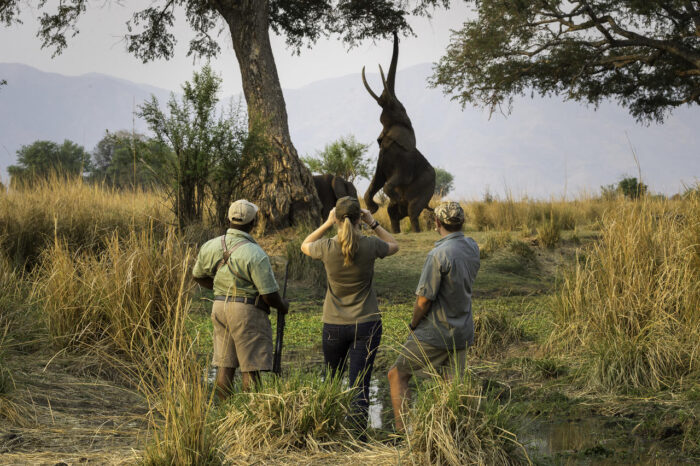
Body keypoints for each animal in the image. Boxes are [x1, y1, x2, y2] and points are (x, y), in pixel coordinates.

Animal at [364, 31, 434, 232]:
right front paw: (373, 207)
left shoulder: (405, 160)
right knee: (392, 213)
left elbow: (392, 181)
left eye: (399, 108)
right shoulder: (382, 156)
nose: (394, 31)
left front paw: (394, 197)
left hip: (426, 189)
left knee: (413, 210)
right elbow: (377, 180)